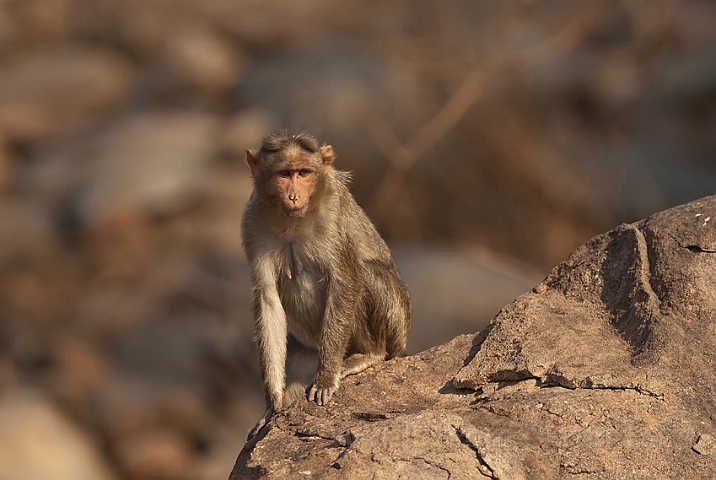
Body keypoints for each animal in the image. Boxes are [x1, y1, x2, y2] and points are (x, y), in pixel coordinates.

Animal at [241, 130, 408, 438]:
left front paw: (326, 378)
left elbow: (345, 279)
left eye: (304, 173)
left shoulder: (333, 212)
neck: (292, 222)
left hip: (398, 326)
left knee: (366, 273)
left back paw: (370, 354)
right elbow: (268, 298)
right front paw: (272, 402)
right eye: (285, 173)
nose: (294, 195)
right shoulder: (251, 222)